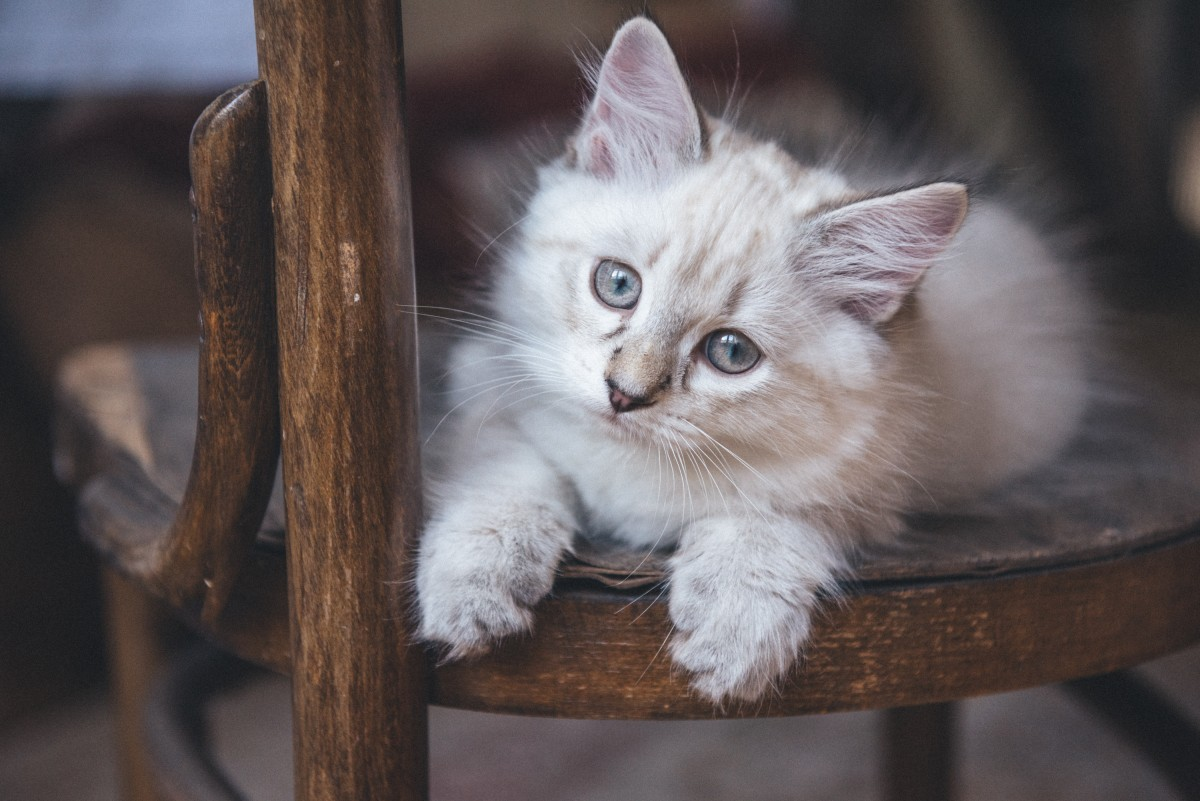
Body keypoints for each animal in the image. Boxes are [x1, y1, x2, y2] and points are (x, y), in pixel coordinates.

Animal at [417, 17, 1094, 700]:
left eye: (731, 353)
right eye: (617, 285)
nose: (623, 394)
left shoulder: (866, 485)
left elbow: (770, 522)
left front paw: (734, 637)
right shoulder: (487, 383)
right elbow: (507, 479)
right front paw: (473, 592)